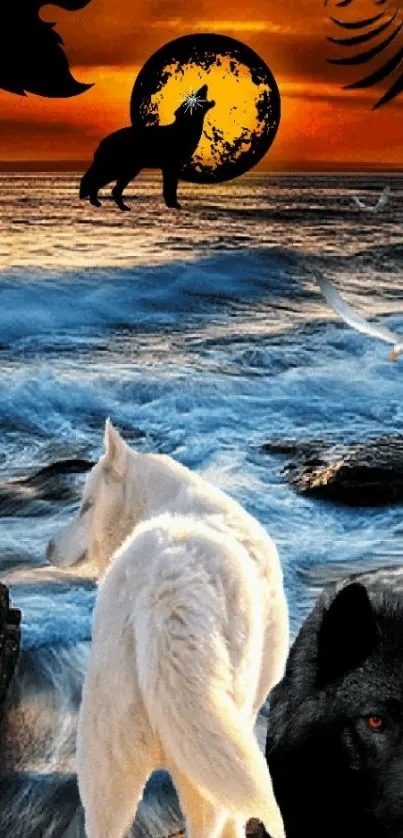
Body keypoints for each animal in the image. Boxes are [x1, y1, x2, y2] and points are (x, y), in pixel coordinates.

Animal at [46, 424, 290, 838]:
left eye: (85, 506)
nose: (47, 548)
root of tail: (162, 589)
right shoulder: (244, 715)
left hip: (107, 759)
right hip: (202, 753)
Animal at [80, 85, 216, 212]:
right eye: (195, 94)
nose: (204, 85)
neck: (184, 130)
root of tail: (103, 142)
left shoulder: (169, 169)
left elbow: (169, 189)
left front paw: (171, 205)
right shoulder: (171, 167)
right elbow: (170, 189)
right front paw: (175, 205)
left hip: (124, 170)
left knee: (105, 186)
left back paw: (105, 204)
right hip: (123, 170)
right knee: (102, 185)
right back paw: (114, 205)